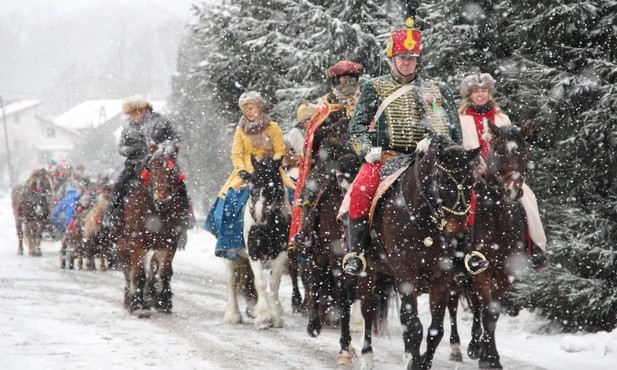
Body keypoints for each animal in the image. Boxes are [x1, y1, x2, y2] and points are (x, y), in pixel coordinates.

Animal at [114, 140, 184, 316]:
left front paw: (164, 302)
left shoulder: (170, 242)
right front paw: (138, 305)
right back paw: (130, 298)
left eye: (174, 171)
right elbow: (138, 273)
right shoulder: (136, 242)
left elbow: (164, 272)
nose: (162, 201)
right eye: (154, 168)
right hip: (122, 243)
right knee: (128, 270)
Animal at [356, 136, 482, 370]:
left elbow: (435, 330)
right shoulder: (406, 274)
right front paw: (415, 362)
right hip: (367, 270)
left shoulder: (441, 277)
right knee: (368, 310)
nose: (458, 234)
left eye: (471, 182)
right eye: (442, 180)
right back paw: (366, 356)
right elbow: (414, 327)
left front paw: (421, 361)